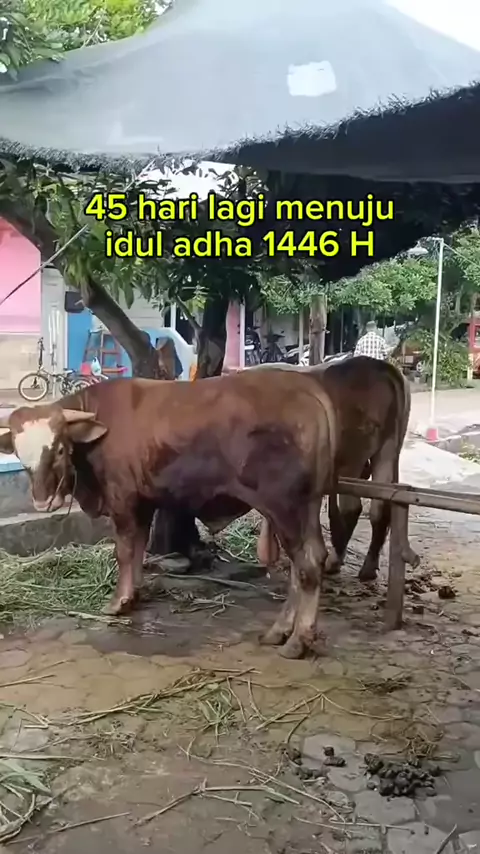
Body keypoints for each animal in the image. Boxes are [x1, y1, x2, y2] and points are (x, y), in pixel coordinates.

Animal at [0, 369, 337, 659]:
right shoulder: (143, 502)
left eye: (58, 449)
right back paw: (280, 631)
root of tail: (306, 387)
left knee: (305, 565)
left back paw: (297, 640)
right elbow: (138, 550)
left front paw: (117, 602)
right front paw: (132, 595)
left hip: (285, 507)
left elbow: (125, 551)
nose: (42, 501)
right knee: (308, 561)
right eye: (18, 453)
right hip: (306, 508)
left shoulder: (122, 500)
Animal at [253, 357, 419, 580]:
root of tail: (381, 367)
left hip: (354, 457)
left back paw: (334, 560)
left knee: (353, 508)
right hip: (388, 449)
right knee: (379, 507)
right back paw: (368, 566)